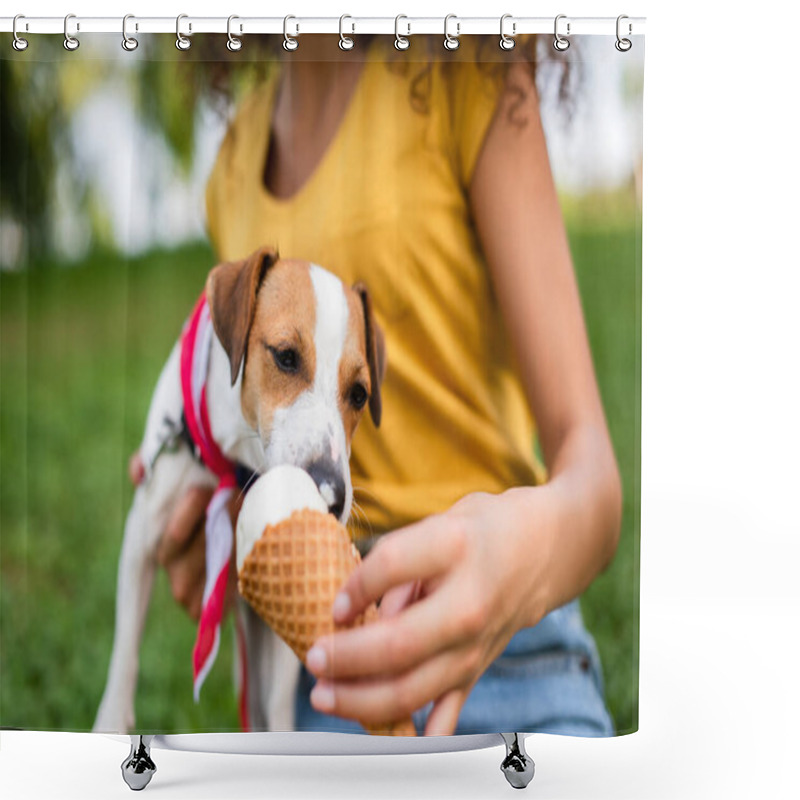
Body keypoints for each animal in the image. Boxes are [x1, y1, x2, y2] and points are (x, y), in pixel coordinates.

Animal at [92, 247, 386, 736]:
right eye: (286, 357)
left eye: (360, 394)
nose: (331, 496)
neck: (237, 457)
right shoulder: (142, 532)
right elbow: (124, 648)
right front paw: (111, 722)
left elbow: (279, 700)